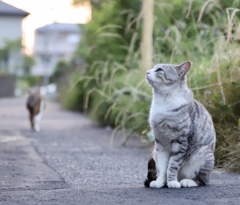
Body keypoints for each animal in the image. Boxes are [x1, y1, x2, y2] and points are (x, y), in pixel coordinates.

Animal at [144, 61, 216, 189]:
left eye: (159, 70)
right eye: (153, 68)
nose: (147, 72)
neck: (162, 100)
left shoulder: (180, 142)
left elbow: (172, 165)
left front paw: (172, 182)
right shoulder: (160, 143)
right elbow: (162, 167)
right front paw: (159, 182)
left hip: (204, 153)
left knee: (202, 181)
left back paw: (186, 182)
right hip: (154, 152)